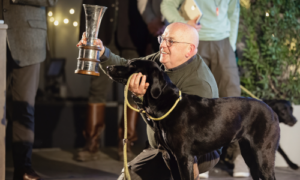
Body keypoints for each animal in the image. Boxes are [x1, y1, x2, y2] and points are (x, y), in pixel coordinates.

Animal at [106, 60, 280, 180]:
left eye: (131, 65)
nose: (108, 67)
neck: (166, 103)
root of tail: (272, 112)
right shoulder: (170, 156)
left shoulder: (185, 157)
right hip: (250, 155)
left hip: (263, 155)